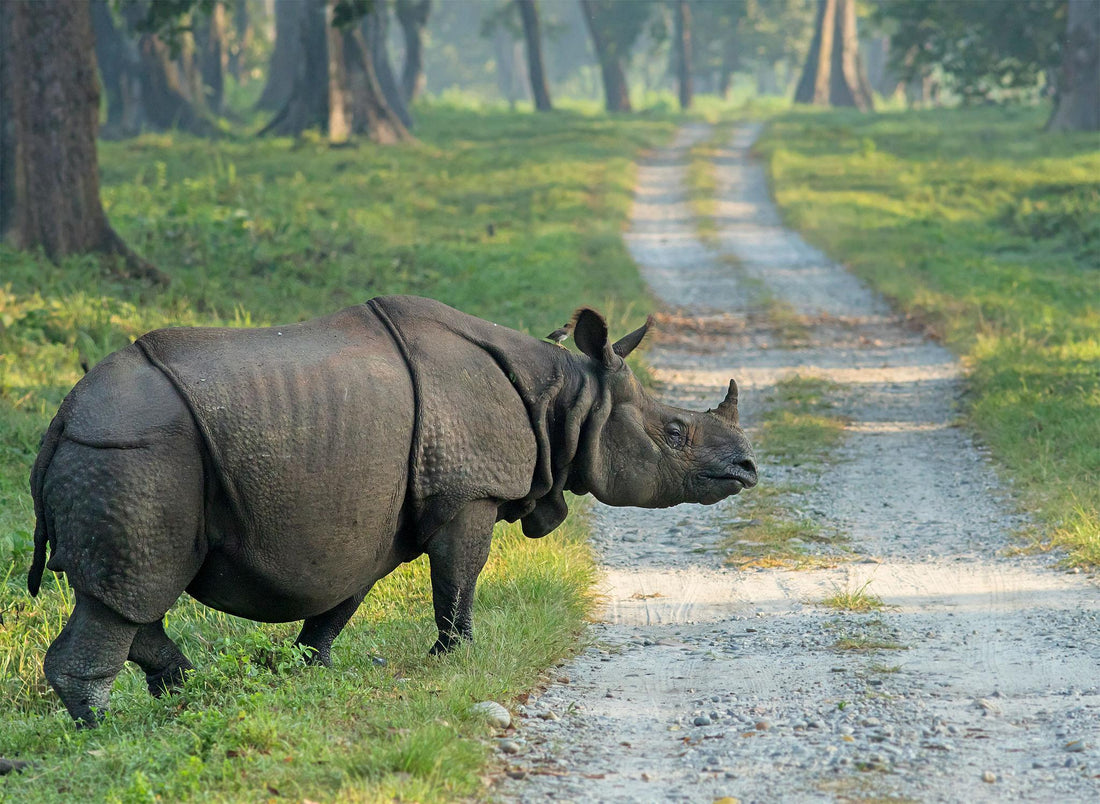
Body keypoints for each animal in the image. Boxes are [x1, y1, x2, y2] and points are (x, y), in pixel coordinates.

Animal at [28, 295, 757, 725]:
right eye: (674, 433)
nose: (749, 469)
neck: (568, 397)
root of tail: (61, 419)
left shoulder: (373, 515)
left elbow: (342, 598)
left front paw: (311, 670)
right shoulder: (468, 492)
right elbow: (460, 575)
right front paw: (455, 657)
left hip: (128, 453)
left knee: (134, 594)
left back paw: (183, 692)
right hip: (136, 452)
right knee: (130, 591)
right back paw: (106, 732)